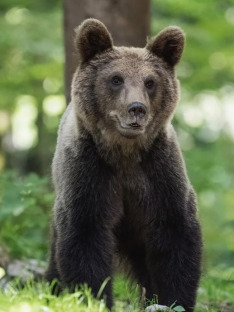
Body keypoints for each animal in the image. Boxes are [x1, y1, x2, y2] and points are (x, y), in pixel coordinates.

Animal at [45, 18, 201, 310]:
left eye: (150, 81)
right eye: (116, 79)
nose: (137, 108)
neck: (124, 154)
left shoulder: (159, 173)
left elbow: (176, 234)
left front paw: (174, 299)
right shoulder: (89, 173)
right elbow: (85, 237)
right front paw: (93, 296)